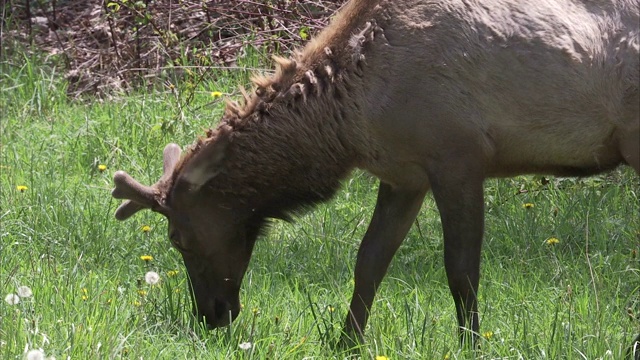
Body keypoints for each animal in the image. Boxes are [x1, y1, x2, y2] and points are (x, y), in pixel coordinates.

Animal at [111, 0, 640, 348]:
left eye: (179, 237)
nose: (212, 315)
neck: (351, 121)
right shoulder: (405, 175)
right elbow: (369, 263)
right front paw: (346, 341)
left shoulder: (457, 156)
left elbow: (461, 270)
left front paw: (471, 344)